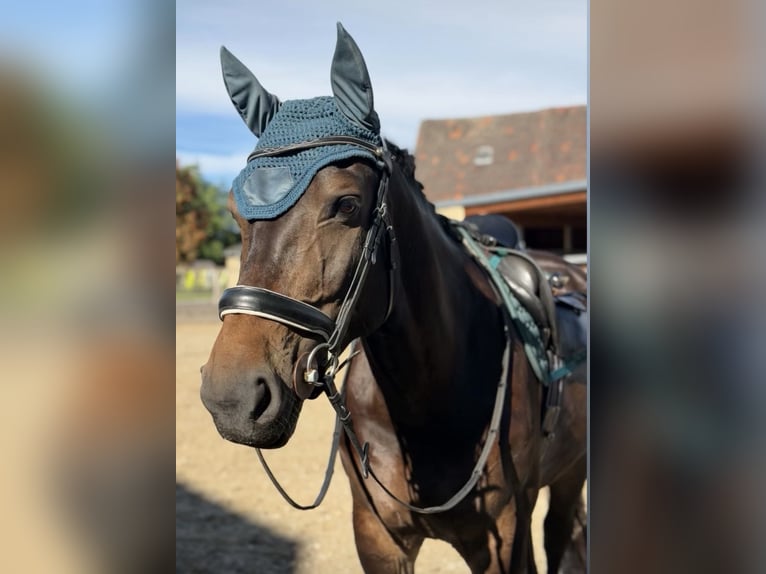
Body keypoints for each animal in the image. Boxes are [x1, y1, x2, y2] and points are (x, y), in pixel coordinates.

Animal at [200, 24, 586, 573]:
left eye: (347, 204)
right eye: (235, 211)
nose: (231, 397)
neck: (428, 398)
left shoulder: (506, 539)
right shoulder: (377, 537)